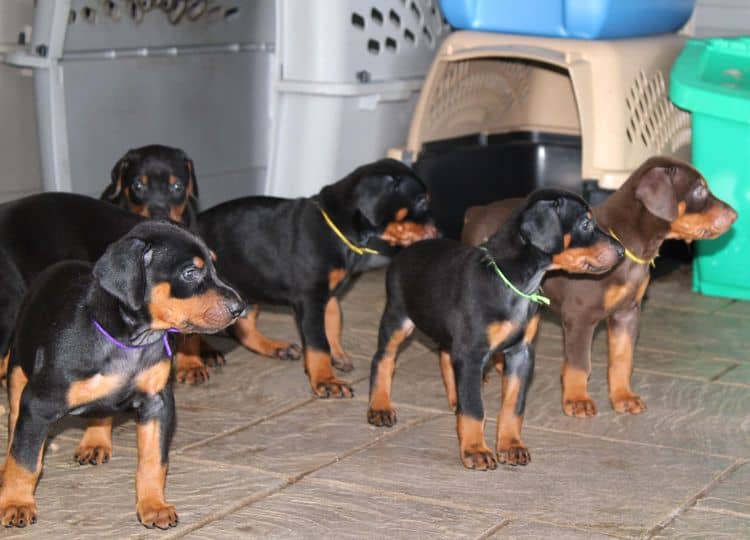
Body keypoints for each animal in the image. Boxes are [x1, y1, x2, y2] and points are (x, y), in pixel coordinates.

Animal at [0, 221, 245, 528]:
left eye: (214, 266)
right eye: (190, 272)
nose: (240, 308)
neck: (129, 342)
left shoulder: (157, 403)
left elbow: (153, 462)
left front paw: (153, 506)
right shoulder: (39, 404)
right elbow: (25, 461)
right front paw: (16, 503)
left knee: (102, 411)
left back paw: (95, 441)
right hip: (18, 367)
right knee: (14, 423)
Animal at [198, 158, 440, 398]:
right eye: (421, 201)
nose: (439, 234)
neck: (336, 228)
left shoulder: (329, 294)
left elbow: (333, 321)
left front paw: (336, 356)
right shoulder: (311, 298)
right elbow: (317, 342)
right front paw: (325, 380)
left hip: (249, 285)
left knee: (243, 327)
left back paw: (276, 347)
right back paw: (197, 361)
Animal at [368, 189, 624, 468]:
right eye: (585, 224)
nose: (622, 251)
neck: (515, 284)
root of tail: (405, 250)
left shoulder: (521, 353)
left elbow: (513, 407)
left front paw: (511, 446)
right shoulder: (471, 353)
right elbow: (474, 409)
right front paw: (475, 450)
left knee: (445, 357)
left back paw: (455, 398)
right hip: (397, 318)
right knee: (383, 359)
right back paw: (379, 407)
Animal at [468, 156, 736, 418]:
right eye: (699, 189)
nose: (735, 215)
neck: (629, 244)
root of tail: (476, 211)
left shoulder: (627, 312)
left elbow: (622, 358)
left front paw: (623, 397)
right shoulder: (579, 316)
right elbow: (579, 364)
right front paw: (577, 400)